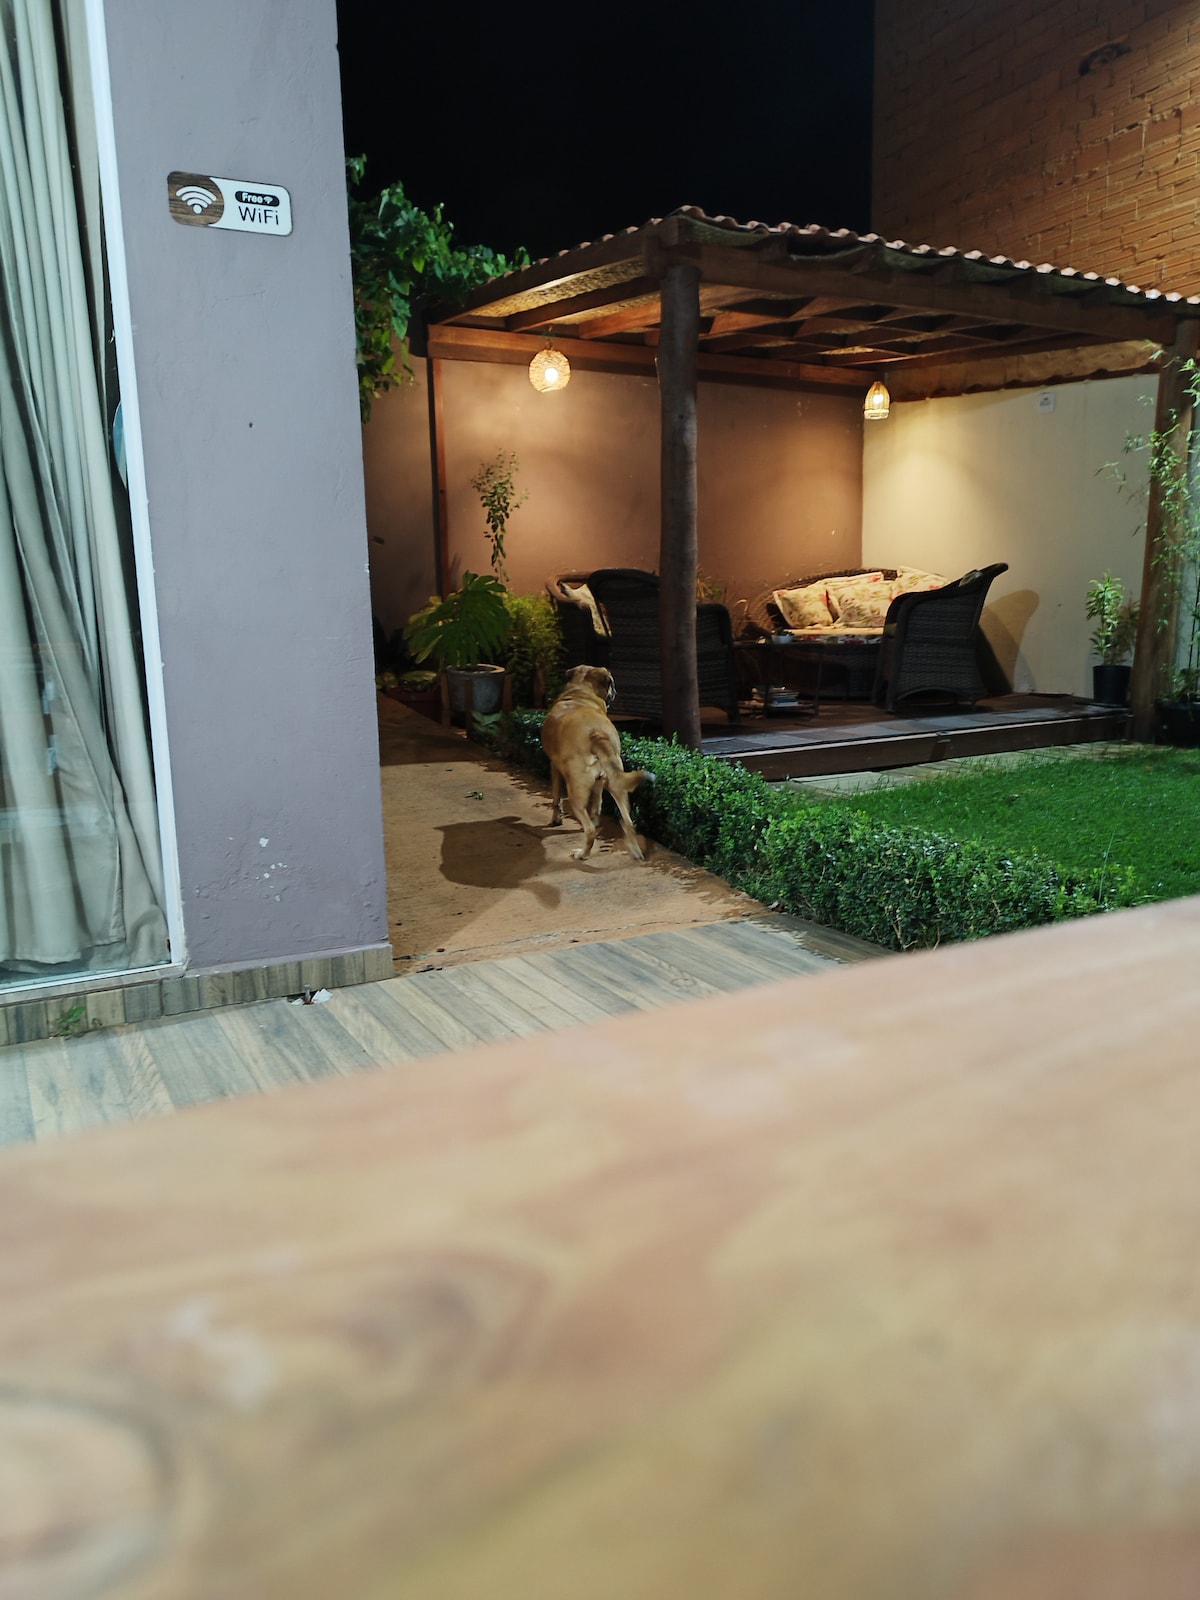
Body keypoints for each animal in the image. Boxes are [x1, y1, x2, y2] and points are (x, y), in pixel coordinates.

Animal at [541, 666, 652, 861]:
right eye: (612, 684)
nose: (616, 691)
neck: (581, 693)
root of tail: (596, 734)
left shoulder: (554, 766)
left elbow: (556, 797)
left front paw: (556, 819)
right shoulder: (601, 779)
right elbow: (597, 800)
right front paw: (596, 814)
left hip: (576, 793)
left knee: (591, 831)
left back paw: (582, 854)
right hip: (618, 785)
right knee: (628, 823)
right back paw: (635, 852)